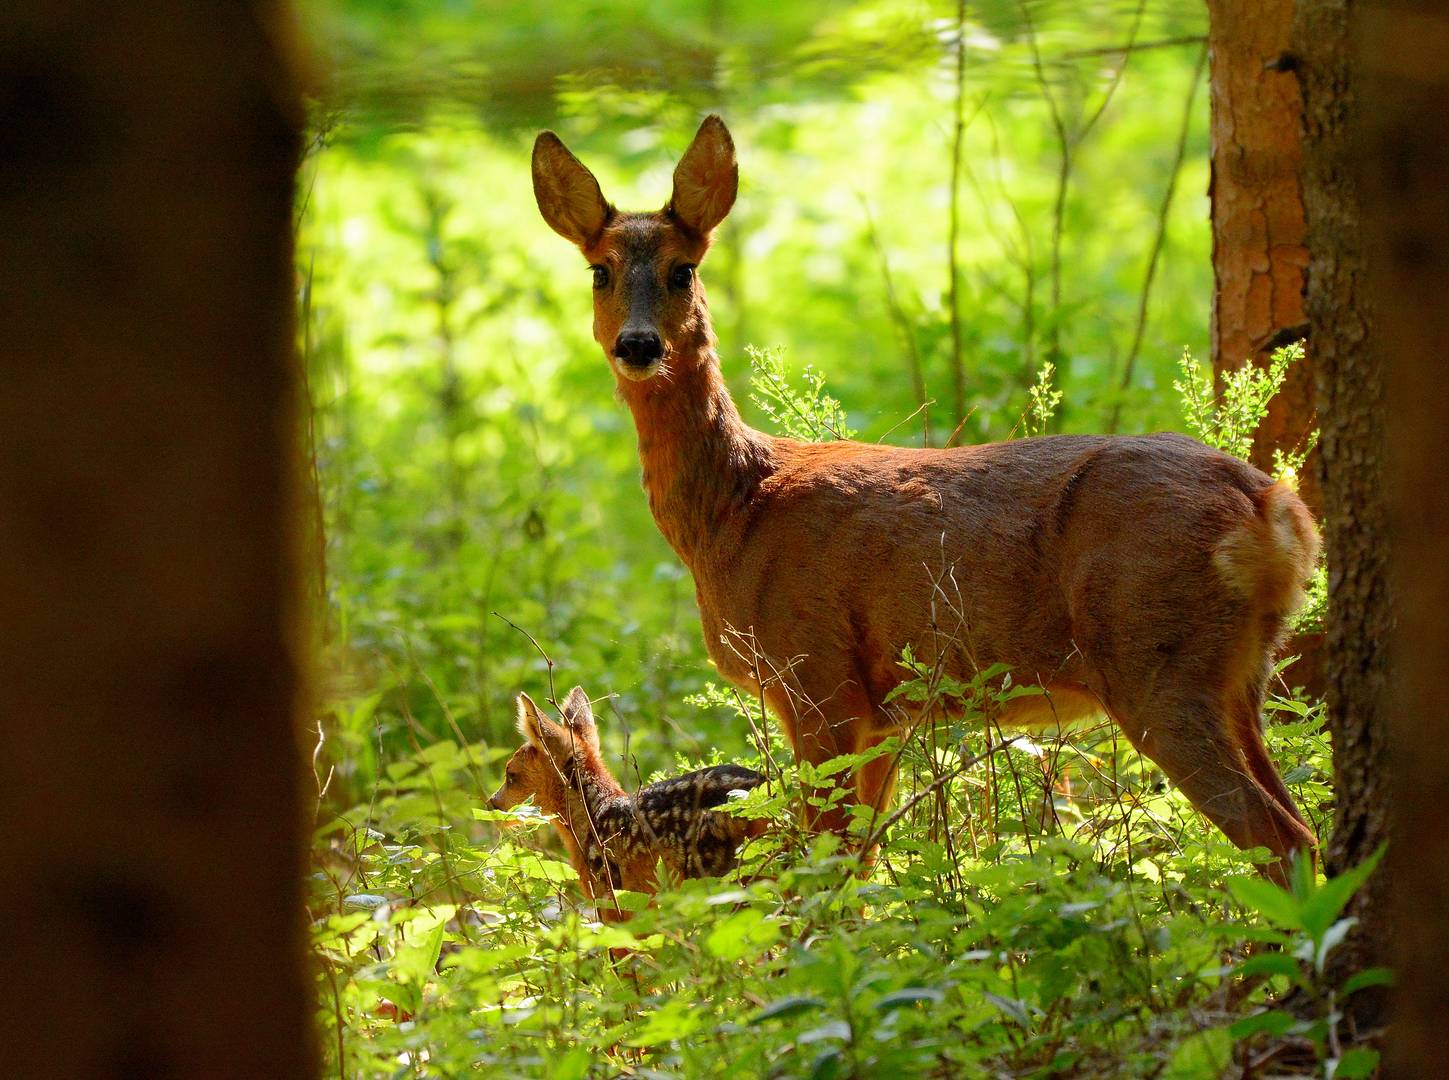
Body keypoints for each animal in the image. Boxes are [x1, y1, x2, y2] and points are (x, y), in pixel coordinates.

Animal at [533, 113, 1327, 881]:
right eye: (600, 271)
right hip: (1239, 673)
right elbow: (860, 864)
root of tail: (1276, 510)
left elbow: (824, 865)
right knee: (1305, 827)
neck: (733, 511)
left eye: (682, 269)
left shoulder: (815, 677)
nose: (638, 346)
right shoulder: (880, 711)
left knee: (1277, 835)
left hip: (1155, 657)